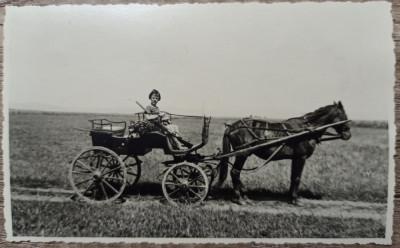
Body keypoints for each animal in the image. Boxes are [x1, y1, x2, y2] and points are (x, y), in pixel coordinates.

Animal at [217, 101, 352, 205]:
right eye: (343, 115)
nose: (348, 135)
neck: (306, 130)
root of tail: (233, 126)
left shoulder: (295, 158)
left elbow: (293, 177)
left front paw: (291, 198)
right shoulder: (301, 157)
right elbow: (297, 178)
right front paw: (295, 200)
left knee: (237, 173)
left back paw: (244, 194)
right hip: (243, 154)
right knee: (235, 172)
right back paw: (239, 198)